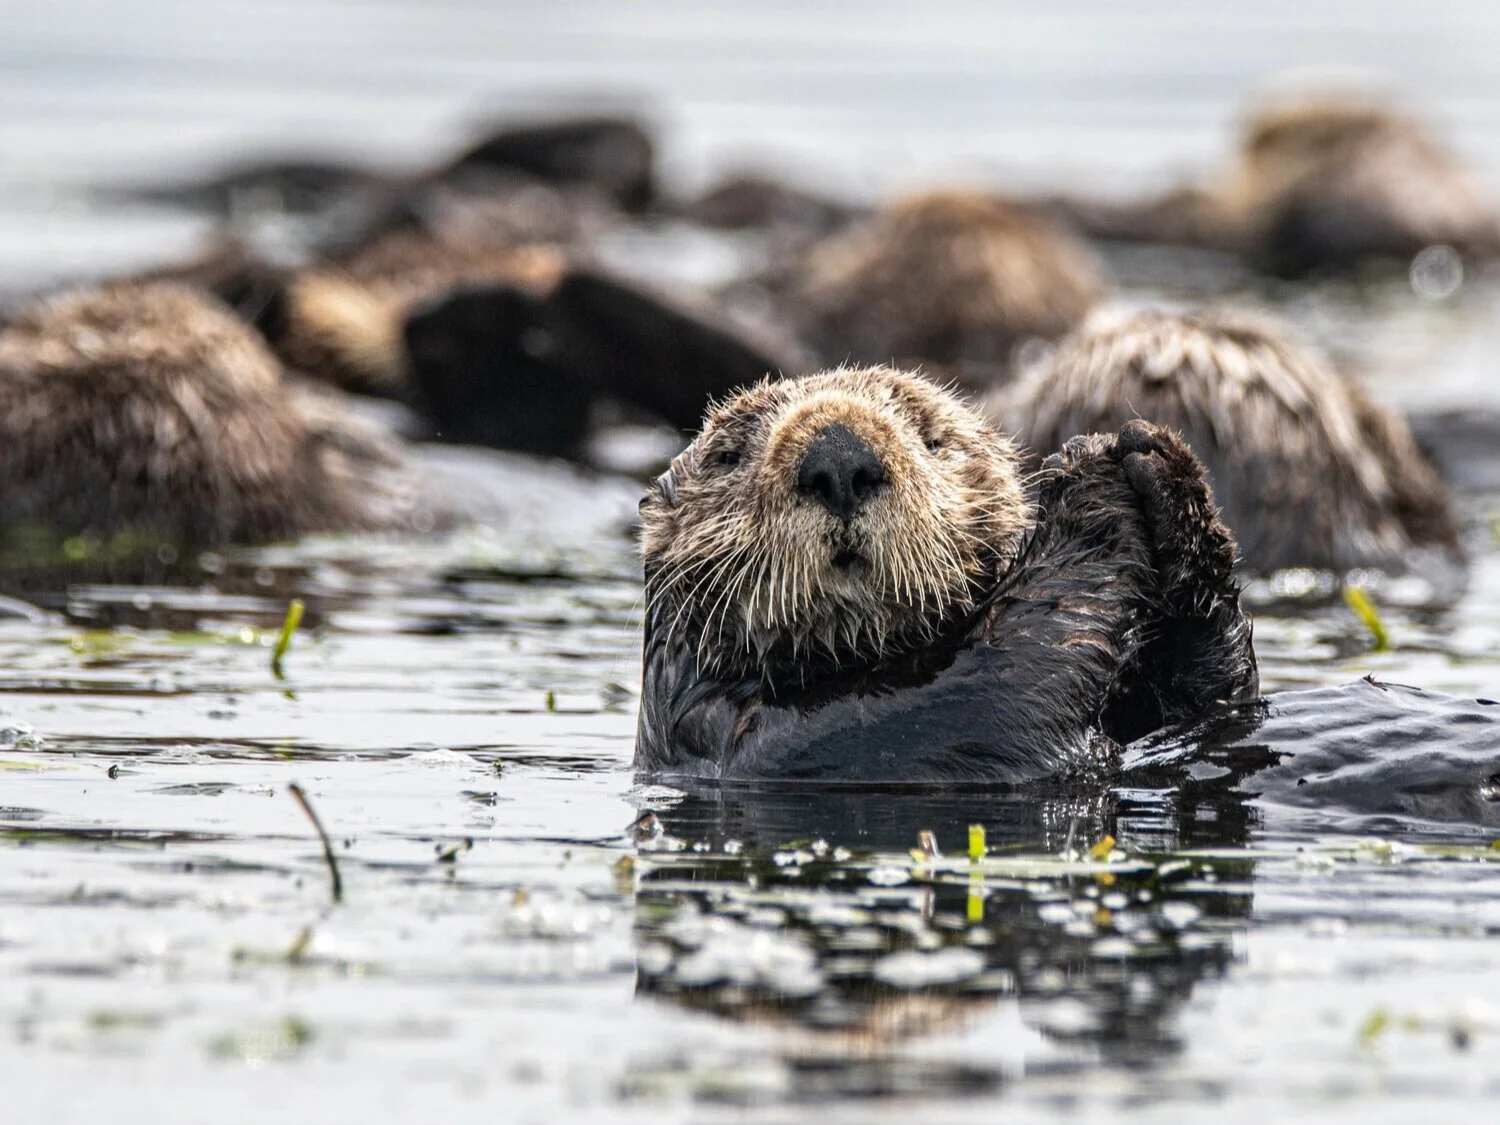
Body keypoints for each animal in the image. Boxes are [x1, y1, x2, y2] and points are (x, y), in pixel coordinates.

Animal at [635, 367, 1257, 782]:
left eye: (932, 438)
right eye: (729, 455)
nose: (838, 456)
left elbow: (1219, 705)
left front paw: (1162, 464)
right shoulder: (762, 738)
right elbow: (988, 688)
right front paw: (1087, 479)